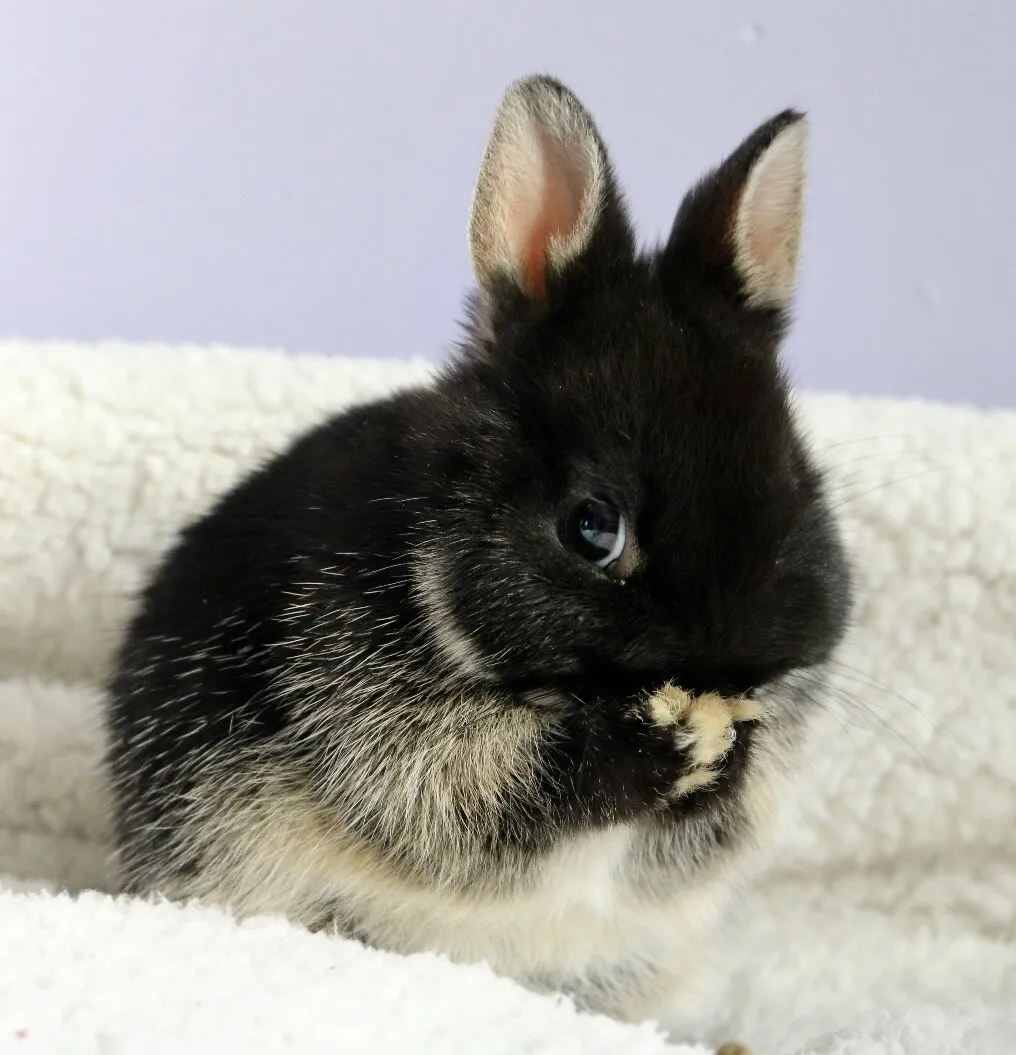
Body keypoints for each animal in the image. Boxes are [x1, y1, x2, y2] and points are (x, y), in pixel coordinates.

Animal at [106, 74, 851, 1034]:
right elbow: (504, 804)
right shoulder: (403, 753)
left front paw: (728, 752)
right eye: (591, 527)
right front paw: (668, 747)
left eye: (798, 488)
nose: (730, 670)